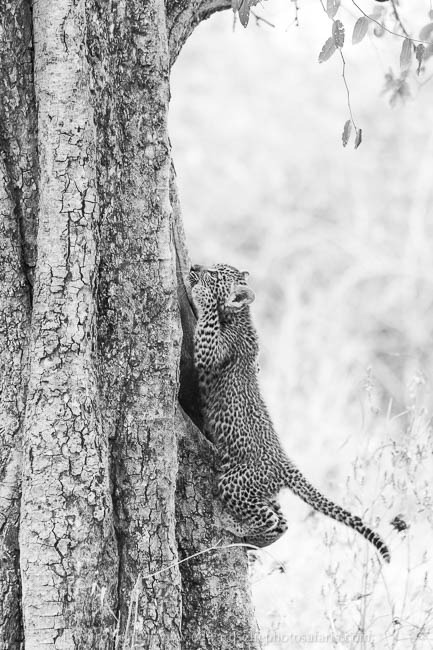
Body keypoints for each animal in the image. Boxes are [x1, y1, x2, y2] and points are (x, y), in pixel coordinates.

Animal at [189, 262, 390, 563]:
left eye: (214, 274)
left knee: (272, 521)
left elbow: (208, 322)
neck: (242, 318)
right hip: (260, 491)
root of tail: (285, 465)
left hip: (235, 482)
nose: (194, 266)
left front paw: (201, 293)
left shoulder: (210, 350)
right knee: (282, 523)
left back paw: (234, 528)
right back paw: (252, 543)